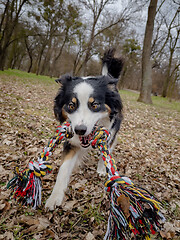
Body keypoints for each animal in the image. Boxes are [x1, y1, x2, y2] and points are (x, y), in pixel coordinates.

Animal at [45, 48, 124, 210]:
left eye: (94, 105)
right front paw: (55, 197)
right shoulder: (71, 141)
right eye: (71, 105)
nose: (80, 130)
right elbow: (63, 169)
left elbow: (105, 153)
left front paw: (102, 169)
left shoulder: (108, 132)